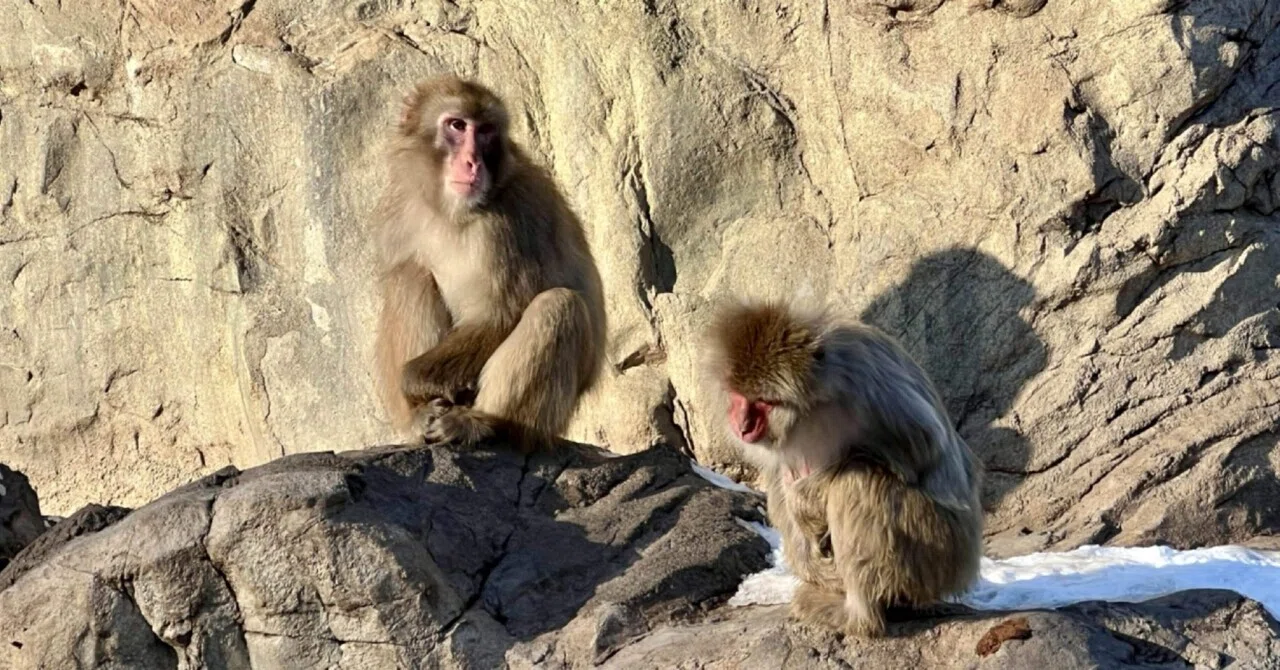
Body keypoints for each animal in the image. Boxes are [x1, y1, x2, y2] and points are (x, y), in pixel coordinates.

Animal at [372, 75, 606, 451]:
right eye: (457, 125)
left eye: (485, 131)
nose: (472, 162)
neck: (453, 212)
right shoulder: (401, 207)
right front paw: (414, 409)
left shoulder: (509, 225)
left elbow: (498, 315)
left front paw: (411, 381)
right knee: (409, 275)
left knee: (558, 306)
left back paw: (484, 424)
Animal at [701, 299, 983, 637]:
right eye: (738, 397)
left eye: (764, 402)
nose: (742, 425)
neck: (811, 405)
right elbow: (781, 472)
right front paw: (807, 547)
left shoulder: (865, 381)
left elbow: (923, 448)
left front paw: (810, 493)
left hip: (939, 548)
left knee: (857, 480)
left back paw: (858, 616)